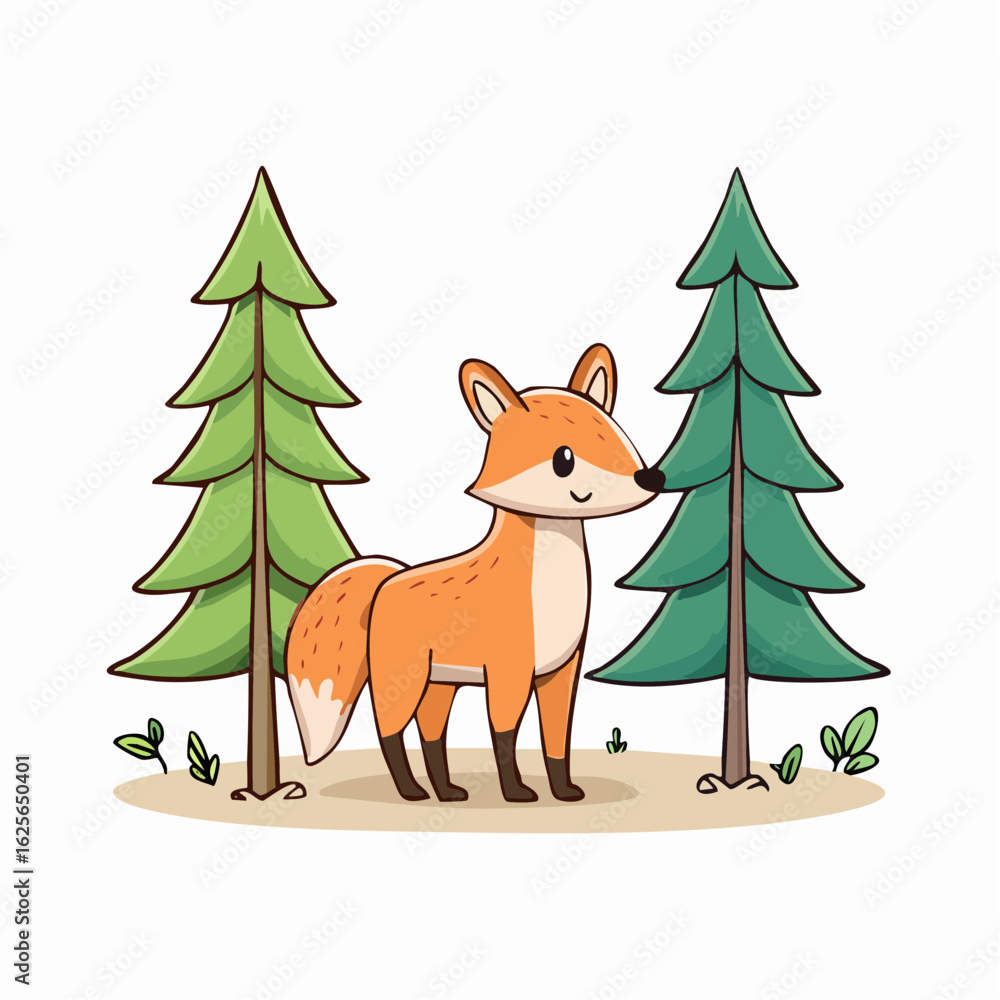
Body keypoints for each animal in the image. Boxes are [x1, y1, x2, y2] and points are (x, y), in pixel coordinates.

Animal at [285, 344, 663, 803]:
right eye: (564, 458)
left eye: (620, 436)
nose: (651, 476)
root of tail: (387, 578)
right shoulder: (509, 671)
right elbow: (504, 734)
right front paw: (515, 793)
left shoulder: (561, 671)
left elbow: (557, 740)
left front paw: (565, 791)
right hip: (404, 681)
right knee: (389, 732)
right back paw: (412, 791)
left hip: (439, 685)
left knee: (431, 735)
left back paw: (447, 791)